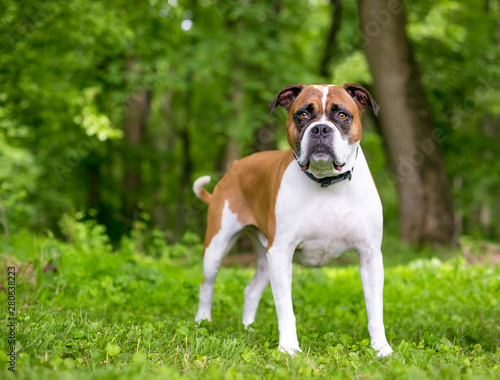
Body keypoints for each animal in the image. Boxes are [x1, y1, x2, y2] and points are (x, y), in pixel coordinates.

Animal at [193, 82, 392, 356]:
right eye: (303, 114)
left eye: (342, 115)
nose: (320, 128)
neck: (326, 182)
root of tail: (235, 166)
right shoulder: (281, 253)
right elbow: (285, 309)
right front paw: (288, 348)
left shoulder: (370, 256)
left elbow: (375, 311)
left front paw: (381, 349)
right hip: (217, 247)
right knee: (207, 285)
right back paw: (202, 322)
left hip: (264, 258)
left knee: (251, 290)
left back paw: (248, 328)